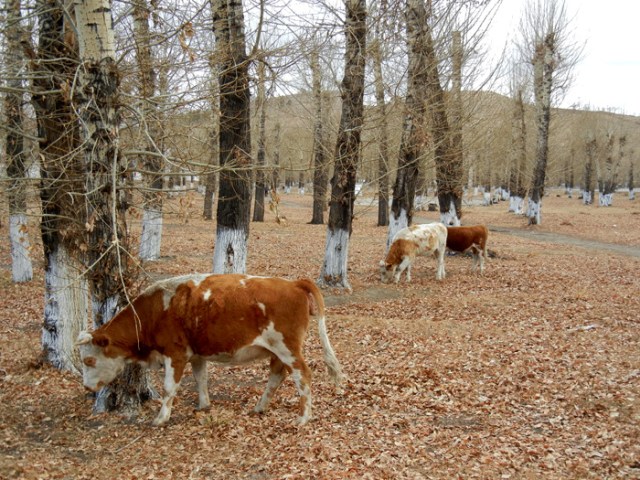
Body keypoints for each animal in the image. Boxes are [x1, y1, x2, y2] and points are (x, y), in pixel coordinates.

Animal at [77, 274, 343, 426]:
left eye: (89, 360)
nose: (87, 387)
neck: (157, 310)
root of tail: (294, 283)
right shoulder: (196, 355)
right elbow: (200, 378)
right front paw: (203, 405)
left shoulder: (175, 354)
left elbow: (169, 388)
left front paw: (161, 418)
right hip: (278, 351)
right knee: (277, 376)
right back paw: (260, 407)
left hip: (288, 348)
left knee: (303, 375)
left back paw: (303, 418)